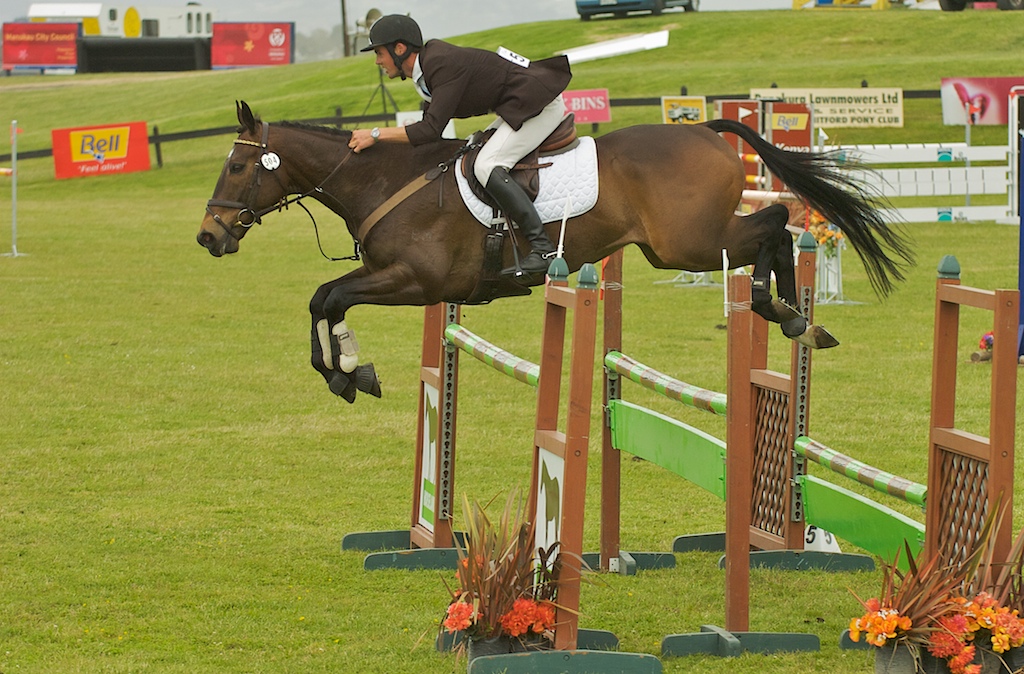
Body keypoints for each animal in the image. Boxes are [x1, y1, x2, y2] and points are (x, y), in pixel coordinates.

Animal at [198, 101, 913, 402]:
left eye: (237, 168)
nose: (209, 236)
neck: (384, 180)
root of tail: (705, 131)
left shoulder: (416, 281)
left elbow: (330, 297)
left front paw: (347, 373)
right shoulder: (387, 275)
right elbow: (325, 299)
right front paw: (349, 371)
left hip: (687, 244)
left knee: (775, 222)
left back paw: (784, 311)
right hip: (676, 248)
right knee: (775, 227)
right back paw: (799, 318)